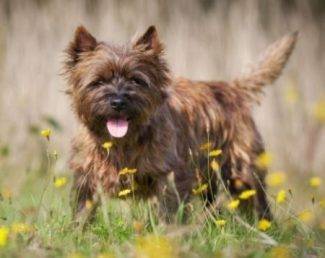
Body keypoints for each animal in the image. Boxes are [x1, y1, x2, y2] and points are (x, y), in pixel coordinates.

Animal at [63, 24, 296, 222]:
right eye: (98, 81)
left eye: (136, 80)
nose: (118, 101)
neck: (122, 142)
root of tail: (233, 88)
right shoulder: (86, 176)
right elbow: (82, 210)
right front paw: (78, 233)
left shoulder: (169, 177)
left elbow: (168, 212)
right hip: (208, 177)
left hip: (242, 170)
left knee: (257, 202)